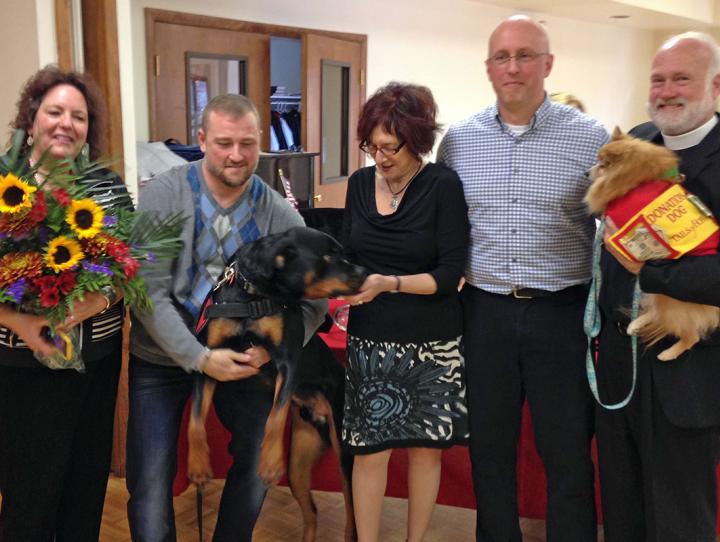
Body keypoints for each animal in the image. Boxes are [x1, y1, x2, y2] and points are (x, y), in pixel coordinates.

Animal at [584, 130, 720, 364]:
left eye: (602, 165)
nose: (585, 172)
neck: (638, 180)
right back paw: (635, 324)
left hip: (672, 299)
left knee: (690, 335)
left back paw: (668, 354)